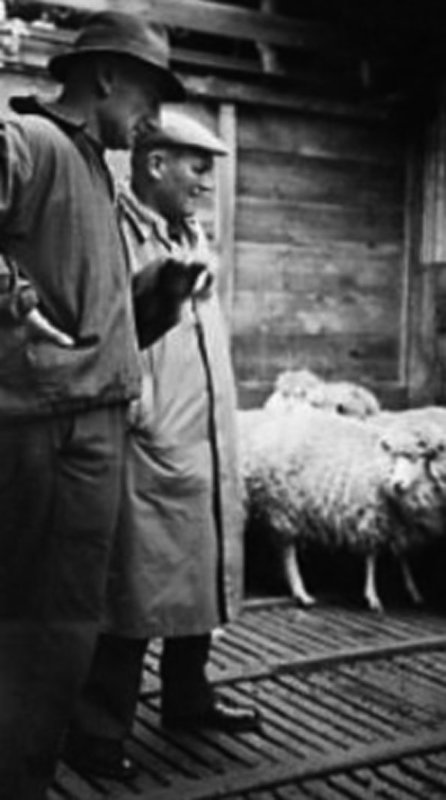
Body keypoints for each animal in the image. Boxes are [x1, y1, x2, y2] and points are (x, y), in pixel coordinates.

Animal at [240, 405, 446, 612]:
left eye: (419, 457)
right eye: (394, 456)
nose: (397, 484)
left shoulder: (400, 524)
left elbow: (403, 556)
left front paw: (414, 591)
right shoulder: (372, 515)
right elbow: (372, 557)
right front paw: (372, 596)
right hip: (283, 505)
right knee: (287, 550)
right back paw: (300, 591)